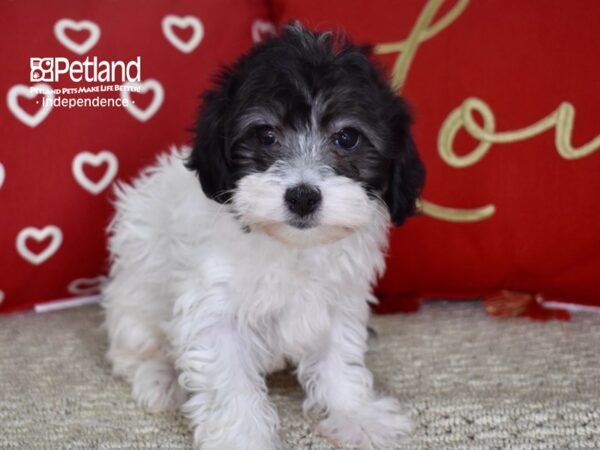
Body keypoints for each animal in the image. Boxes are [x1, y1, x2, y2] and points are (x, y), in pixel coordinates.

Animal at [103, 23, 424, 450]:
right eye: (266, 135)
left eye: (347, 138)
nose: (303, 196)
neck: (290, 246)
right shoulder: (214, 311)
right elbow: (229, 384)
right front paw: (241, 438)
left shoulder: (338, 301)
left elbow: (338, 358)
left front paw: (355, 413)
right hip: (134, 299)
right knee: (134, 348)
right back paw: (160, 379)